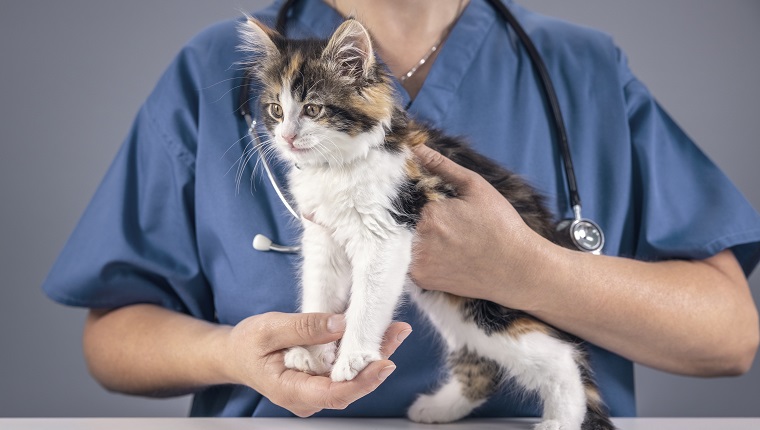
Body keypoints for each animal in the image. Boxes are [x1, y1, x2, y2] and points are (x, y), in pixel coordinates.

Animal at [240, 16, 616, 430]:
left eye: (312, 109)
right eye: (276, 109)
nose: (287, 137)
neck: (338, 166)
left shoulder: (387, 229)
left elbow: (367, 302)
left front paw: (353, 357)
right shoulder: (323, 237)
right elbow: (318, 292)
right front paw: (309, 351)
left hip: (492, 301)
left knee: (562, 355)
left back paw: (562, 419)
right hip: (455, 309)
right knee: (484, 364)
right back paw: (440, 408)